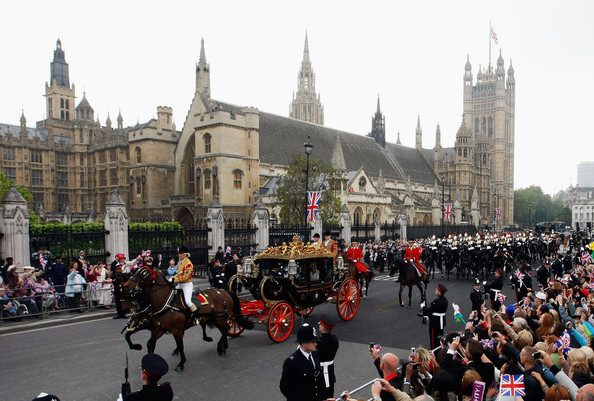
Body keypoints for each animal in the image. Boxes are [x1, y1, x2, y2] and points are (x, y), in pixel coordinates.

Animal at [123, 264, 253, 370]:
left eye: (144, 273)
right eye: (134, 271)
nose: (126, 286)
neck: (167, 302)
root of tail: (224, 291)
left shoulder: (176, 329)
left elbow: (180, 345)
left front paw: (181, 363)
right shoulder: (160, 328)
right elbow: (149, 343)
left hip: (219, 318)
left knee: (225, 329)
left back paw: (220, 347)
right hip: (216, 318)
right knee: (224, 330)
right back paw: (223, 346)